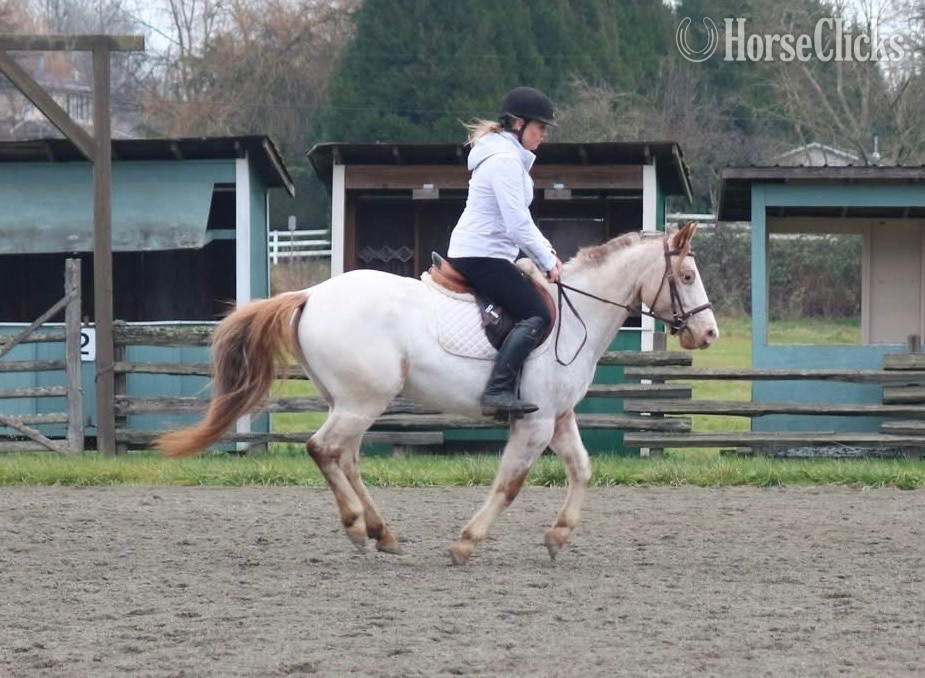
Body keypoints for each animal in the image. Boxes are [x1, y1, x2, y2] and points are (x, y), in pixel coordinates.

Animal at [155, 222, 718, 564]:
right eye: (688, 275)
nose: (709, 334)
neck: (575, 316)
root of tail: (311, 293)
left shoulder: (557, 419)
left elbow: (582, 469)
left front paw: (558, 536)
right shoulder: (534, 422)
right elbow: (509, 485)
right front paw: (466, 544)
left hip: (352, 401)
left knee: (345, 457)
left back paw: (381, 532)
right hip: (363, 402)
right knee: (323, 449)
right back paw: (358, 528)